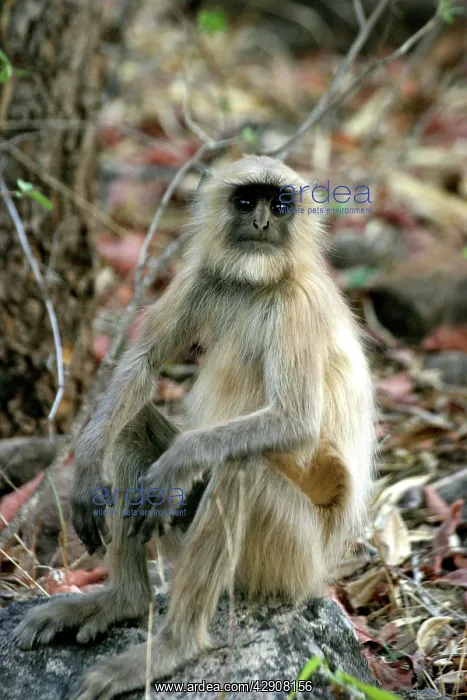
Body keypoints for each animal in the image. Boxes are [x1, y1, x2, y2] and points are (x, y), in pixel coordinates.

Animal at [14, 155, 375, 700]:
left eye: (280, 204)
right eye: (246, 201)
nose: (262, 223)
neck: (258, 283)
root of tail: (321, 567)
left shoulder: (299, 304)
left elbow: (293, 424)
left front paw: (176, 463)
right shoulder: (202, 275)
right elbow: (143, 363)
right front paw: (88, 463)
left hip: (289, 558)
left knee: (241, 465)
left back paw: (173, 645)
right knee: (130, 430)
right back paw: (123, 600)